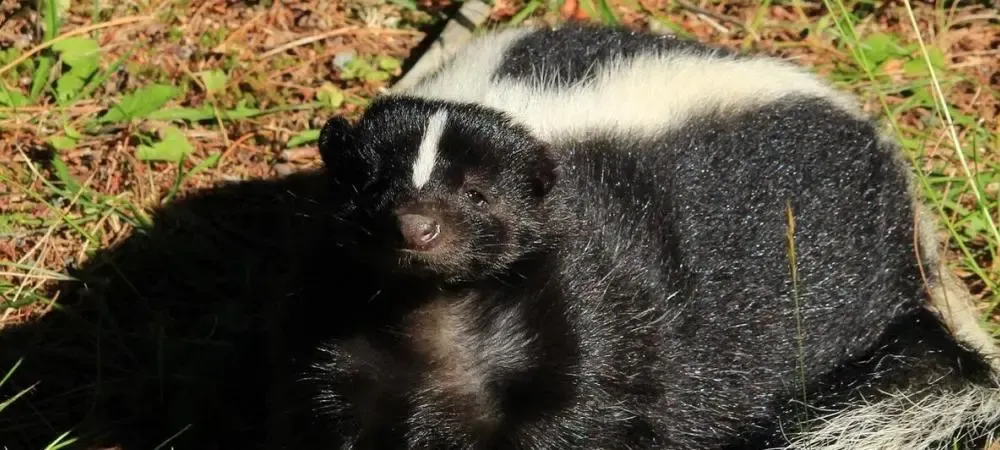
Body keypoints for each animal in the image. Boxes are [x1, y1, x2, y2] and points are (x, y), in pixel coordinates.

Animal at [296, 22, 1000, 450]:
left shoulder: (602, 291)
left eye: (478, 195)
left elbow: (588, 410)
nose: (417, 227)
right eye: (370, 187)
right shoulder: (348, 333)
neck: (439, 314)